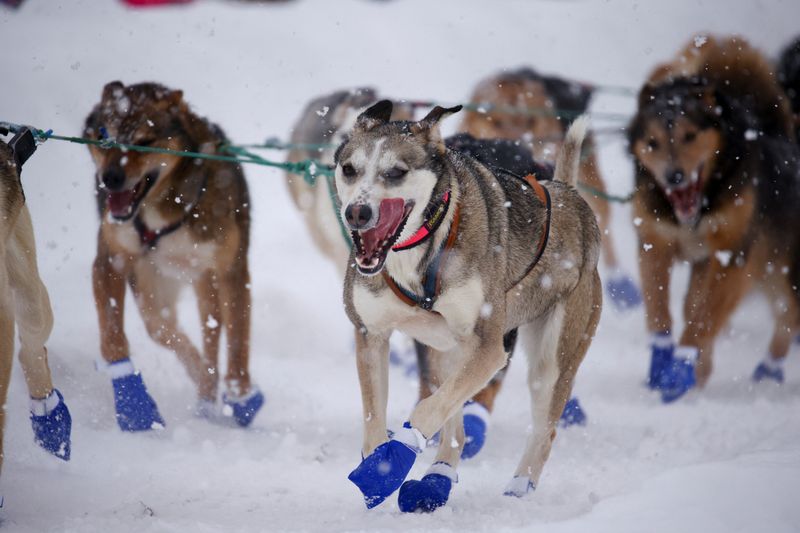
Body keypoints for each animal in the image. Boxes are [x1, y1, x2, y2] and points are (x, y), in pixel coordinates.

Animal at [86, 82, 264, 432]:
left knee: (213, 330)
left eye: (143, 142)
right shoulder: (110, 260)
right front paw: (133, 405)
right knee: (166, 328)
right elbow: (112, 337)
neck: (163, 207)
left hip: (204, 278)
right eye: (103, 135)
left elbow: (238, 340)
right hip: (152, 287)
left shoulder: (232, 270)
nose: (109, 178)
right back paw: (203, 387)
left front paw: (241, 397)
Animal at [338, 101, 600, 512]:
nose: (357, 212)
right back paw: (438, 477)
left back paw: (519, 485)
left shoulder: (490, 348)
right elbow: (375, 418)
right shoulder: (371, 334)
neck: (419, 248)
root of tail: (568, 194)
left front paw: (393, 460)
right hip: (446, 350)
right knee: (454, 423)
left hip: (552, 358)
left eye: (395, 172)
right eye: (349, 169)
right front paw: (380, 463)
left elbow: (428, 409)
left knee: (544, 429)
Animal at [632, 35, 800, 402]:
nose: (674, 177)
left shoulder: (731, 255)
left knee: (788, 316)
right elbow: (660, 310)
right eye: (652, 142)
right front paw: (663, 364)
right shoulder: (655, 241)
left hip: (783, 273)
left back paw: (766, 373)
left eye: (690, 136)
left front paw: (680, 368)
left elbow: (703, 321)